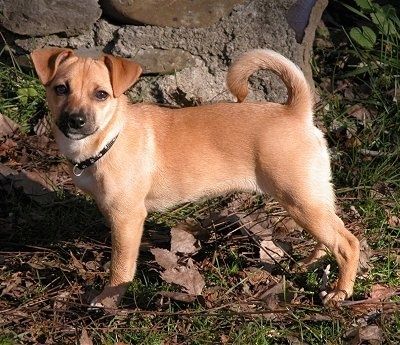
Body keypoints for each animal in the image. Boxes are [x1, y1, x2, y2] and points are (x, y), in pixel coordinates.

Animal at [30, 47, 360, 306]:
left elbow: (121, 265)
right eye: (61, 89)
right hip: (312, 196)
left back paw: (340, 292)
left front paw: (109, 299)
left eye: (101, 95)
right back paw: (310, 262)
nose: (75, 121)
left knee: (347, 243)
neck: (110, 137)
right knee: (332, 232)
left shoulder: (127, 218)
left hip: (299, 199)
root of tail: (295, 112)